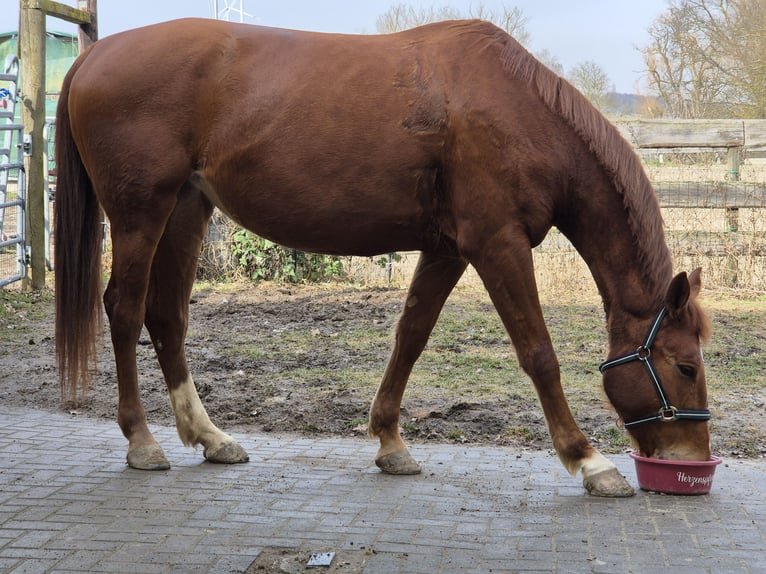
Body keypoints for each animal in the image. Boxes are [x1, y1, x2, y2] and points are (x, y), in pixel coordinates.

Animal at [54, 18, 712, 496]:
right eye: (685, 367)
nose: (692, 458)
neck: (519, 111)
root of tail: (94, 55)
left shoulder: (447, 250)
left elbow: (411, 337)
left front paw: (390, 442)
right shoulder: (497, 244)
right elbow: (539, 355)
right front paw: (590, 461)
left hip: (187, 211)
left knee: (167, 317)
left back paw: (210, 437)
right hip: (139, 215)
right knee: (124, 310)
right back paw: (142, 442)